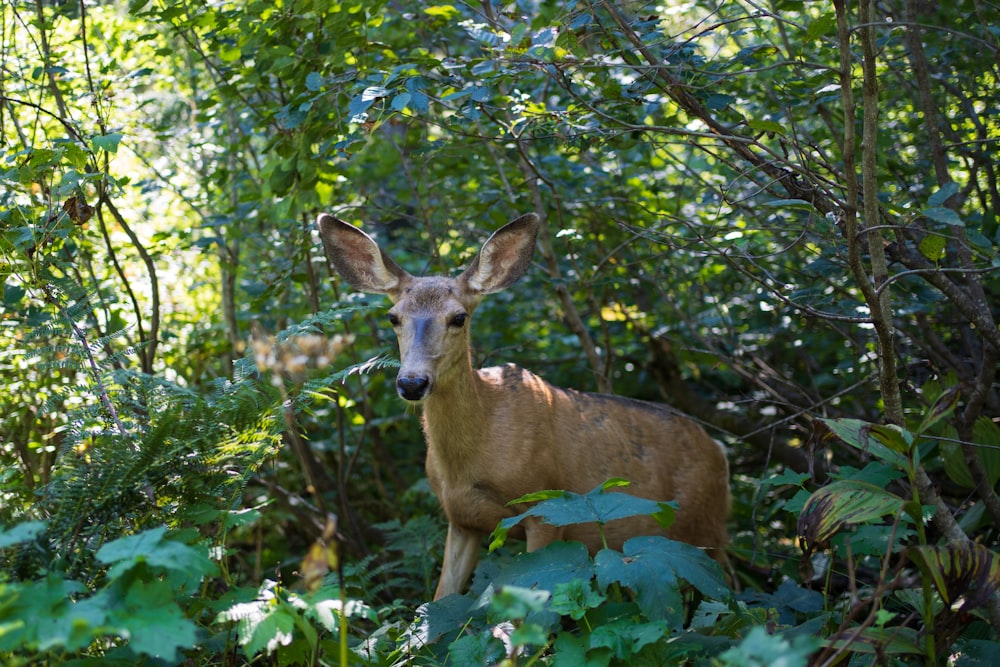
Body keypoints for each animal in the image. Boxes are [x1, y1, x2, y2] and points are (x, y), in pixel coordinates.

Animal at [320, 214, 736, 600]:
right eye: (393, 317)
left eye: (459, 317)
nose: (411, 383)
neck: (472, 457)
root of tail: (718, 449)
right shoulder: (461, 518)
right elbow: (439, 603)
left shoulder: (547, 506)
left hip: (709, 528)